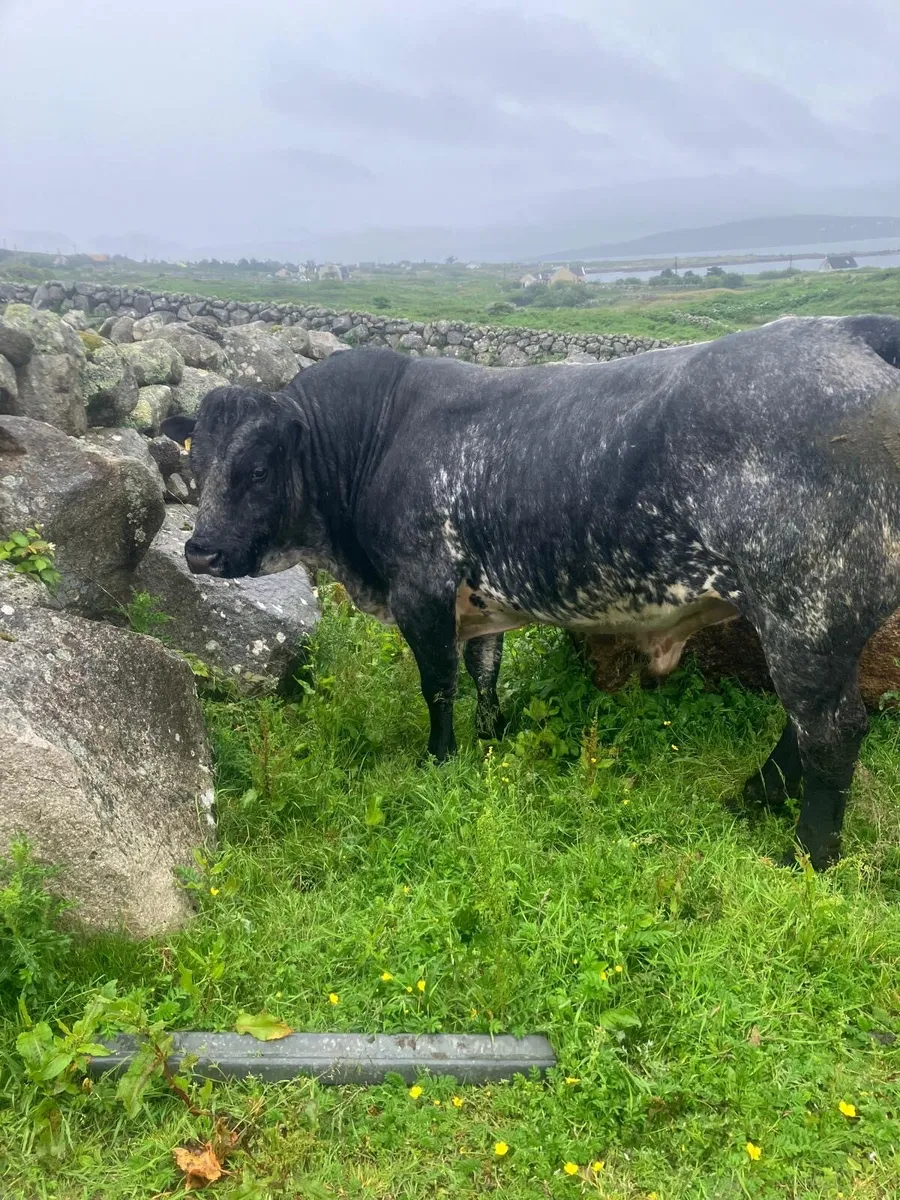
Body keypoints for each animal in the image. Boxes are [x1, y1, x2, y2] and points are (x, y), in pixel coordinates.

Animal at [161, 314, 900, 871]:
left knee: (831, 731)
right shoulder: (477, 605)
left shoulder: (422, 590)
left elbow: (438, 687)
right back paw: (753, 799)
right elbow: (483, 673)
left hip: (805, 613)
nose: (199, 551)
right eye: (198, 463)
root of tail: (845, 330)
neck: (377, 438)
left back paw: (806, 857)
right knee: (806, 728)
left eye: (258, 469)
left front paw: (439, 759)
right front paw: (490, 739)